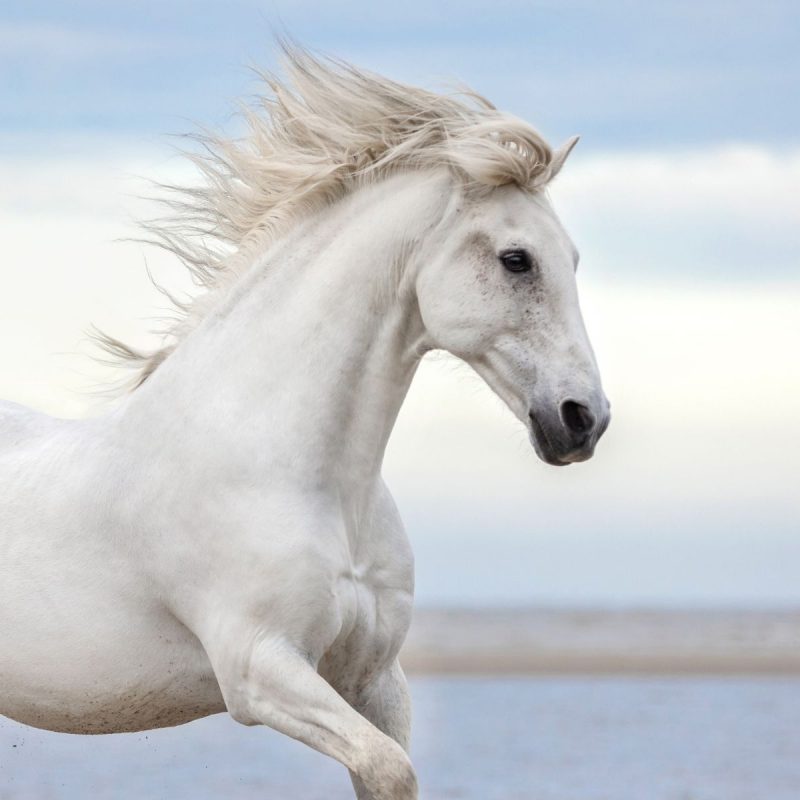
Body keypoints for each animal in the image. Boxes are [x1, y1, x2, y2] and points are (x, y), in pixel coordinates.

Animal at [0, 46, 609, 800]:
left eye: (573, 260)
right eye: (516, 259)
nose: (584, 420)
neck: (299, 475)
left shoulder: (373, 677)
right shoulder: (262, 670)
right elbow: (389, 767)